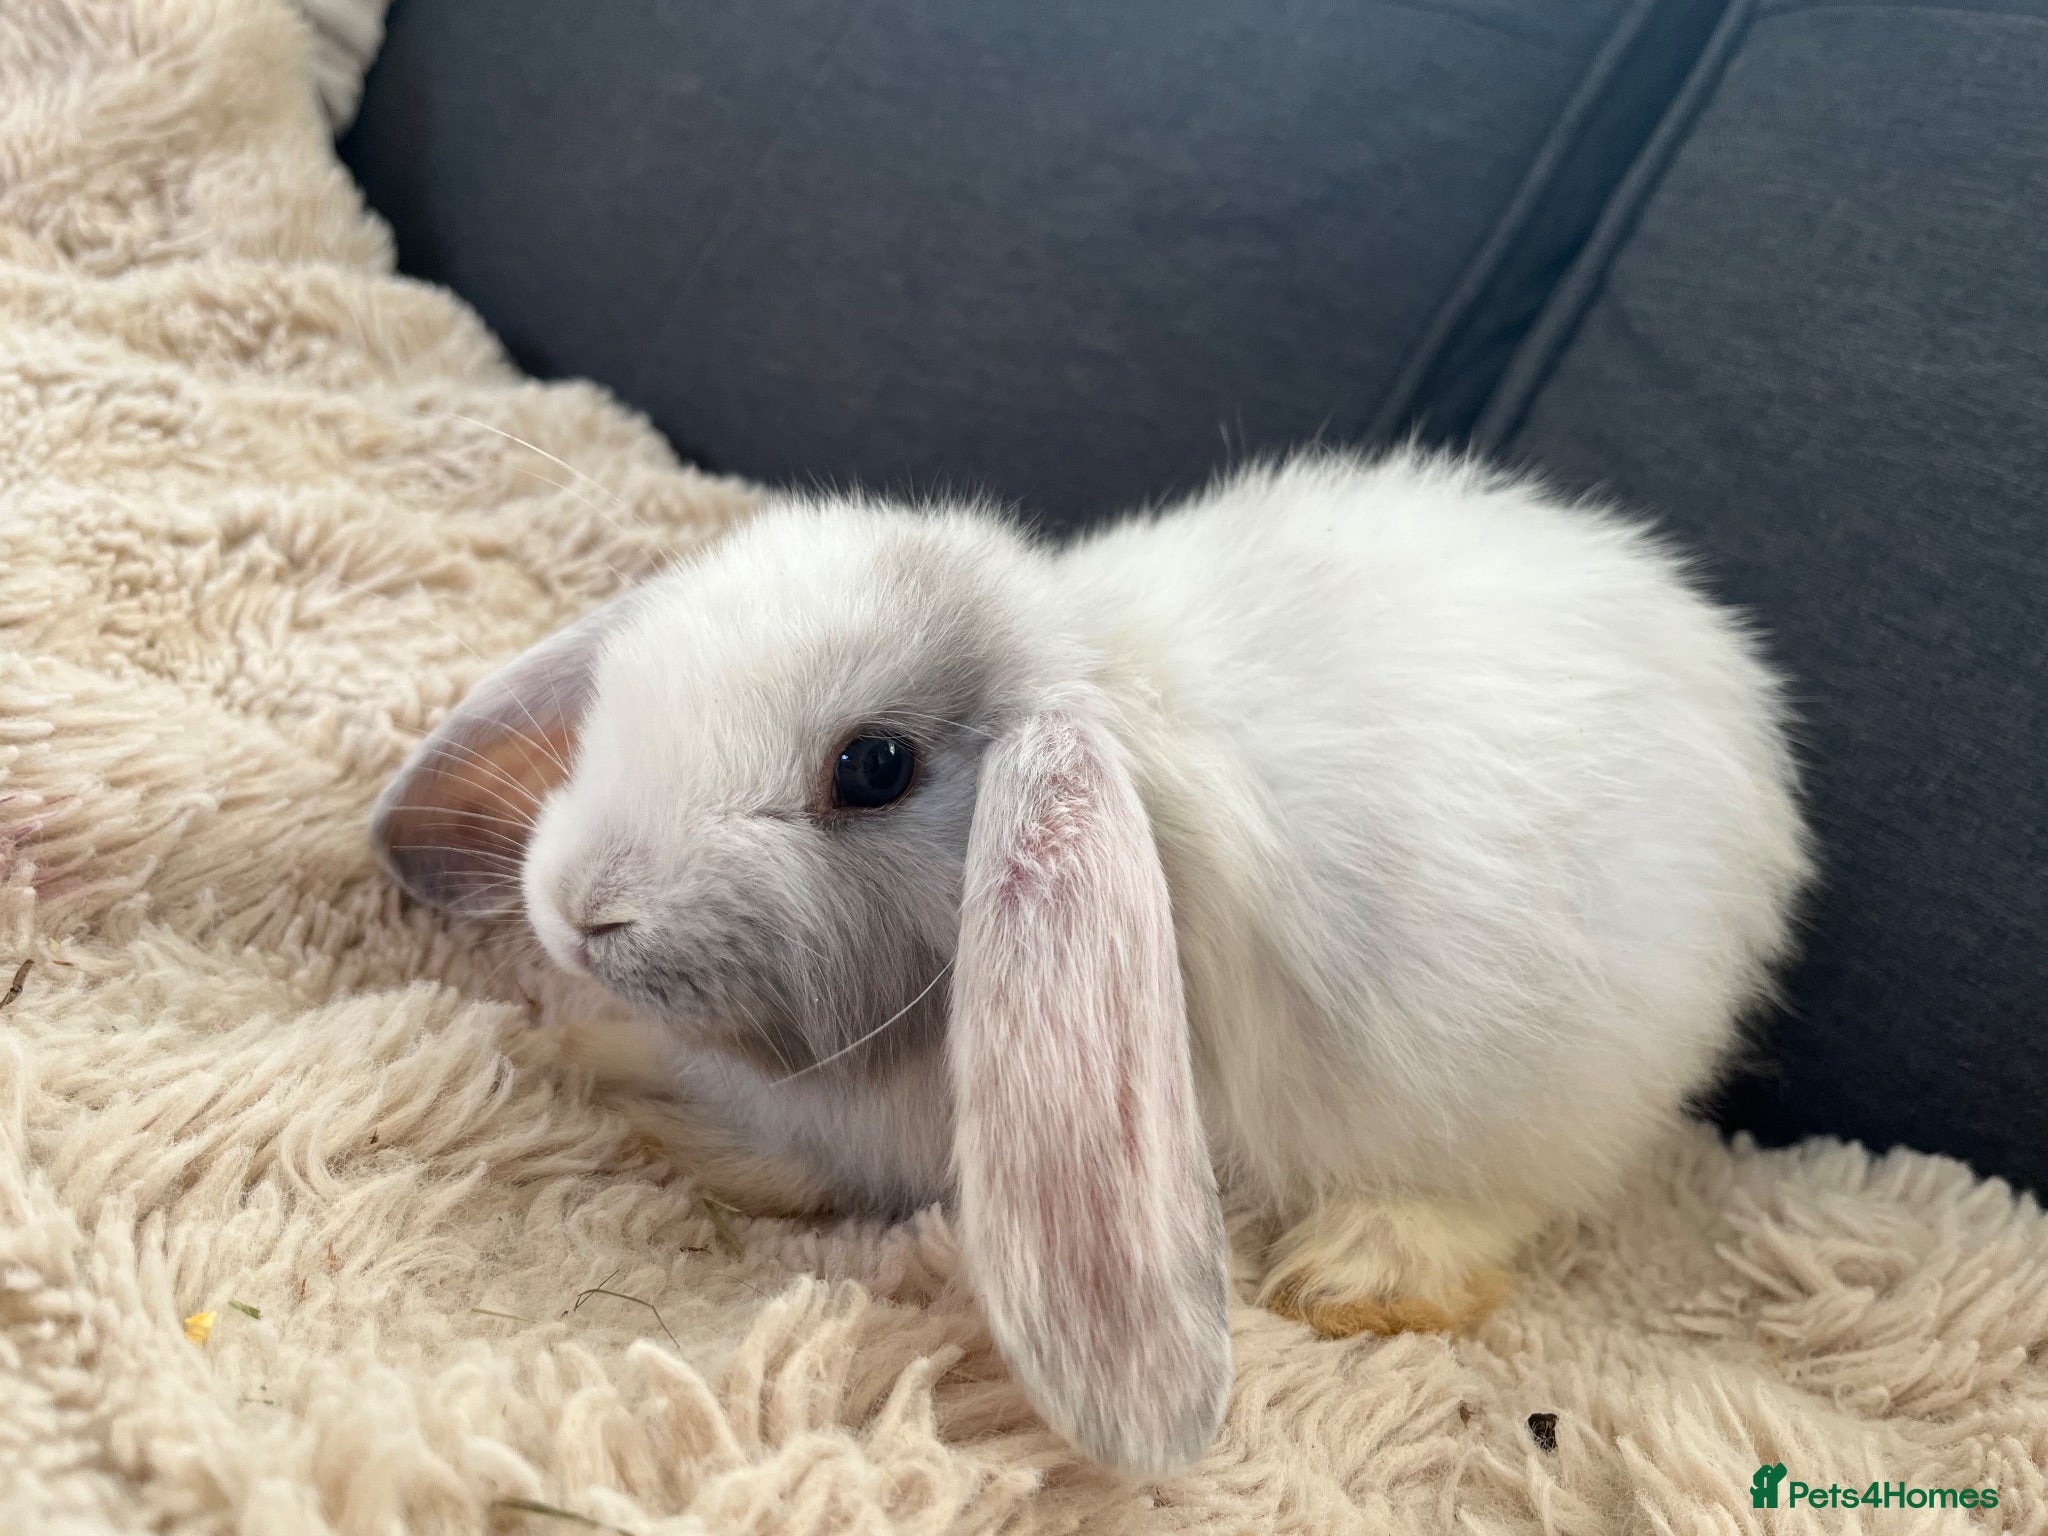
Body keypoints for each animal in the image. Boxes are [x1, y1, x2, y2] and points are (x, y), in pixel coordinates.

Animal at [371, 449, 1811, 1476]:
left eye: (872, 767)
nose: (577, 909)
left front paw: (635, 1089)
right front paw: (590, 1041)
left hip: (1549, 1098)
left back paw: (1355, 1274)